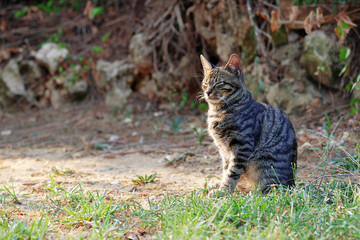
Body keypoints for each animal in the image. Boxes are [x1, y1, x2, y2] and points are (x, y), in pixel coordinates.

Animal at [201, 53, 296, 194]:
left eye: (219, 83)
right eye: (205, 83)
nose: (207, 92)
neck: (217, 112)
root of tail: (293, 183)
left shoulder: (242, 147)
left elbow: (232, 172)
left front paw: (223, 191)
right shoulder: (224, 151)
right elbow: (226, 170)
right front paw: (223, 188)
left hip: (265, 162)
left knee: (269, 188)